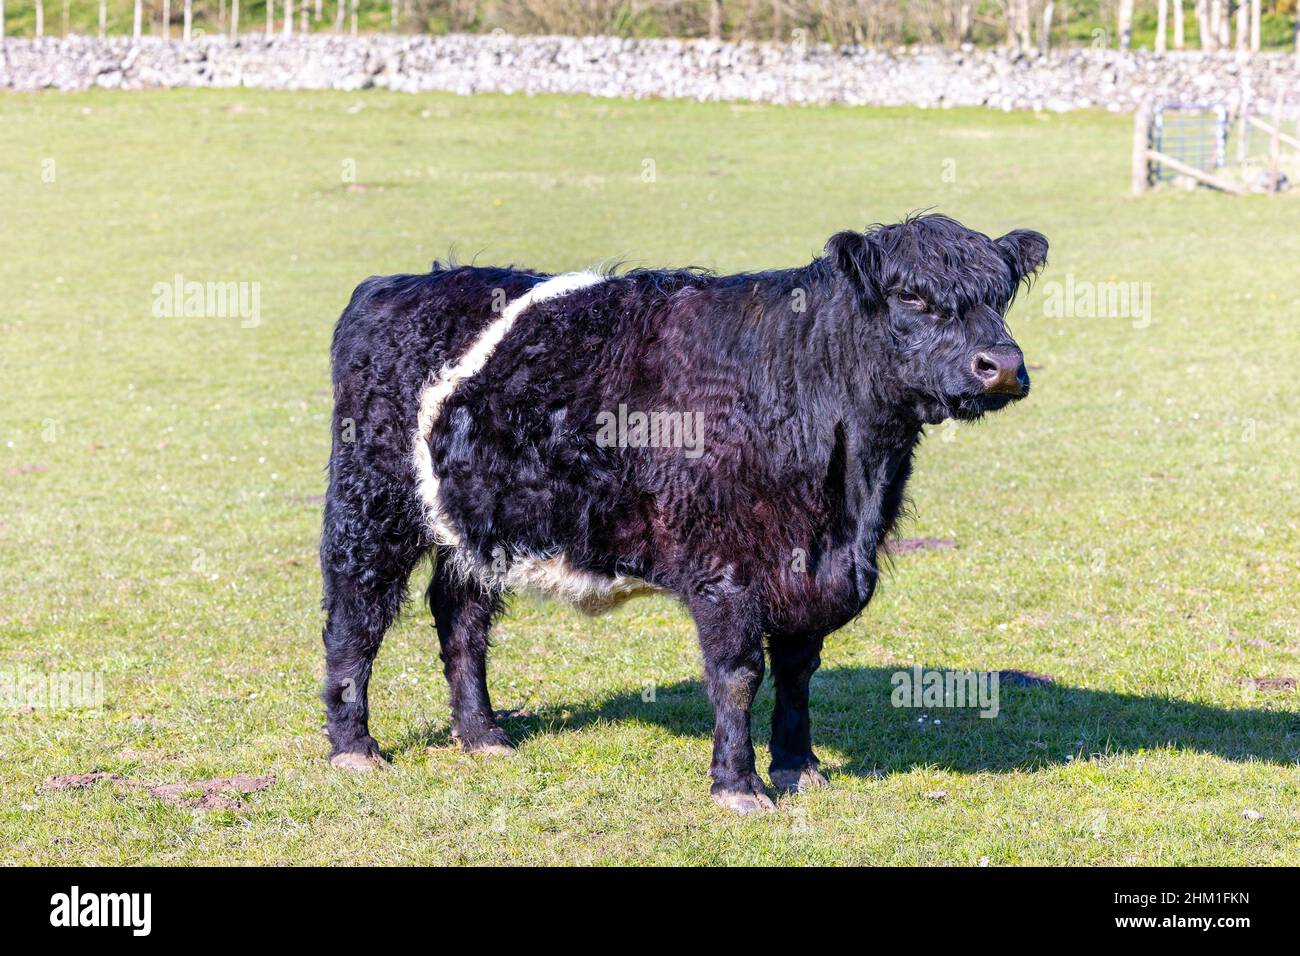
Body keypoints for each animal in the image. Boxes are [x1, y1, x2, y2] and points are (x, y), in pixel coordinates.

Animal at [320, 213, 1047, 814]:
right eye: (911, 296)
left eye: (1001, 295)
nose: (1003, 367)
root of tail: (401, 284)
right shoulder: (725, 567)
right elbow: (737, 674)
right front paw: (738, 785)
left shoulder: (808, 570)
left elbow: (796, 670)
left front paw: (798, 765)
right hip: (370, 503)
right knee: (356, 614)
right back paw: (354, 748)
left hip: (479, 523)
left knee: (461, 618)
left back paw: (482, 736)